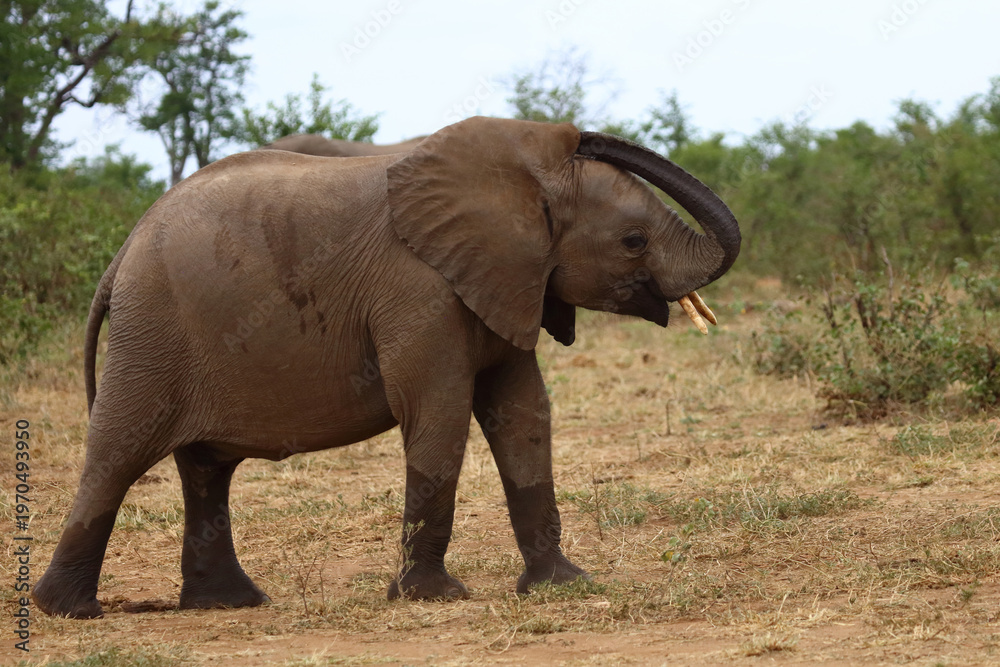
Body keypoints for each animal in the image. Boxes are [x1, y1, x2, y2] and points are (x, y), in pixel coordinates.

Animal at [33, 116, 740, 619]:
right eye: (634, 241)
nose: (581, 135)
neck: (513, 179)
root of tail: (121, 252)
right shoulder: (418, 290)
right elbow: (438, 410)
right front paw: (433, 598)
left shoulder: (506, 280)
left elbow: (522, 413)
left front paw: (560, 586)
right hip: (150, 336)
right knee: (119, 454)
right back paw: (67, 612)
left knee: (207, 470)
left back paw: (230, 604)